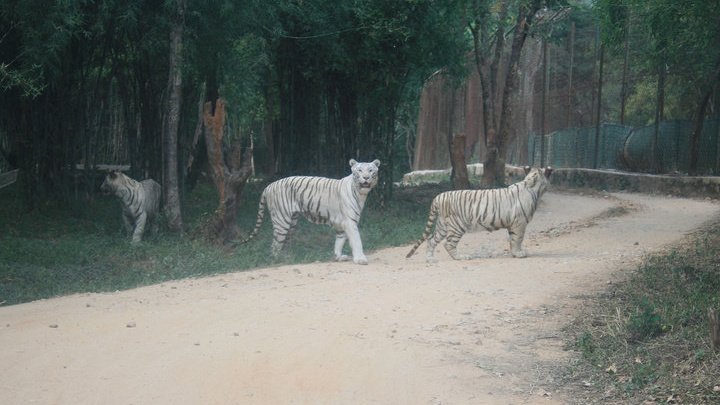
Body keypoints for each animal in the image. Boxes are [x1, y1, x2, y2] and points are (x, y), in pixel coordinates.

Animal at [242, 158, 380, 266]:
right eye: (359, 170)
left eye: (371, 170)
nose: (366, 178)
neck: (361, 194)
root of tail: (268, 186)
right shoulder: (350, 222)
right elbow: (357, 241)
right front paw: (360, 259)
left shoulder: (342, 224)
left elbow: (339, 241)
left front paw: (338, 257)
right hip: (282, 221)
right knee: (275, 245)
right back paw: (279, 260)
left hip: (292, 222)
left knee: (283, 242)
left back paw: (287, 256)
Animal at [408, 166, 556, 260]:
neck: (532, 186)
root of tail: (439, 197)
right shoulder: (520, 223)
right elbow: (517, 239)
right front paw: (519, 253)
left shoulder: (513, 224)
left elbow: (512, 239)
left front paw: (514, 253)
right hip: (457, 226)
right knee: (448, 243)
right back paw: (461, 257)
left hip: (442, 225)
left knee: (431, 240)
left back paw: (430, 259)